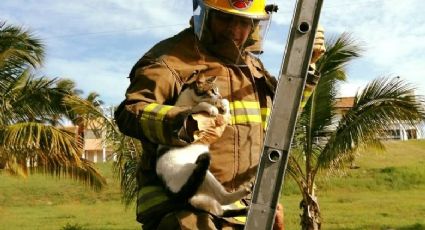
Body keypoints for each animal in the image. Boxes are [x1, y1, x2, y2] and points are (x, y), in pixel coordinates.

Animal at [155, 73, 248, 217]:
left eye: (218, 91)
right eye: (212, 91)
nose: (219, 96)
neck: (189, 98)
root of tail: (176, 196)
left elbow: (225, 107)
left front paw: (223, 104)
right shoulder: (185, 111)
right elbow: (200, 105)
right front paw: (212, 108)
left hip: (206, 186)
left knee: (221, 207)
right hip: (197, 172)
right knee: (222, 200)